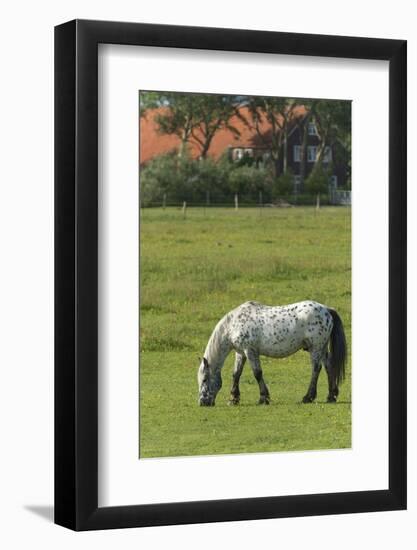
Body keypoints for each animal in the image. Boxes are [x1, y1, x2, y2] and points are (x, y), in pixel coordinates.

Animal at [197, 300, 346, 408]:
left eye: (204, 379)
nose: (202, 402)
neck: (233, 324)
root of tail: (326, 309)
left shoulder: (250, 351)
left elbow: (257, 373)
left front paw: (263, 398)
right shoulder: (241, 353)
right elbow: (236, 374)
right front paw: (233, 399)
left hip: (315, 347)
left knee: (316, 368)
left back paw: (308, 397)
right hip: (322, 348)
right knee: (328, 367)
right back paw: (331, 396)